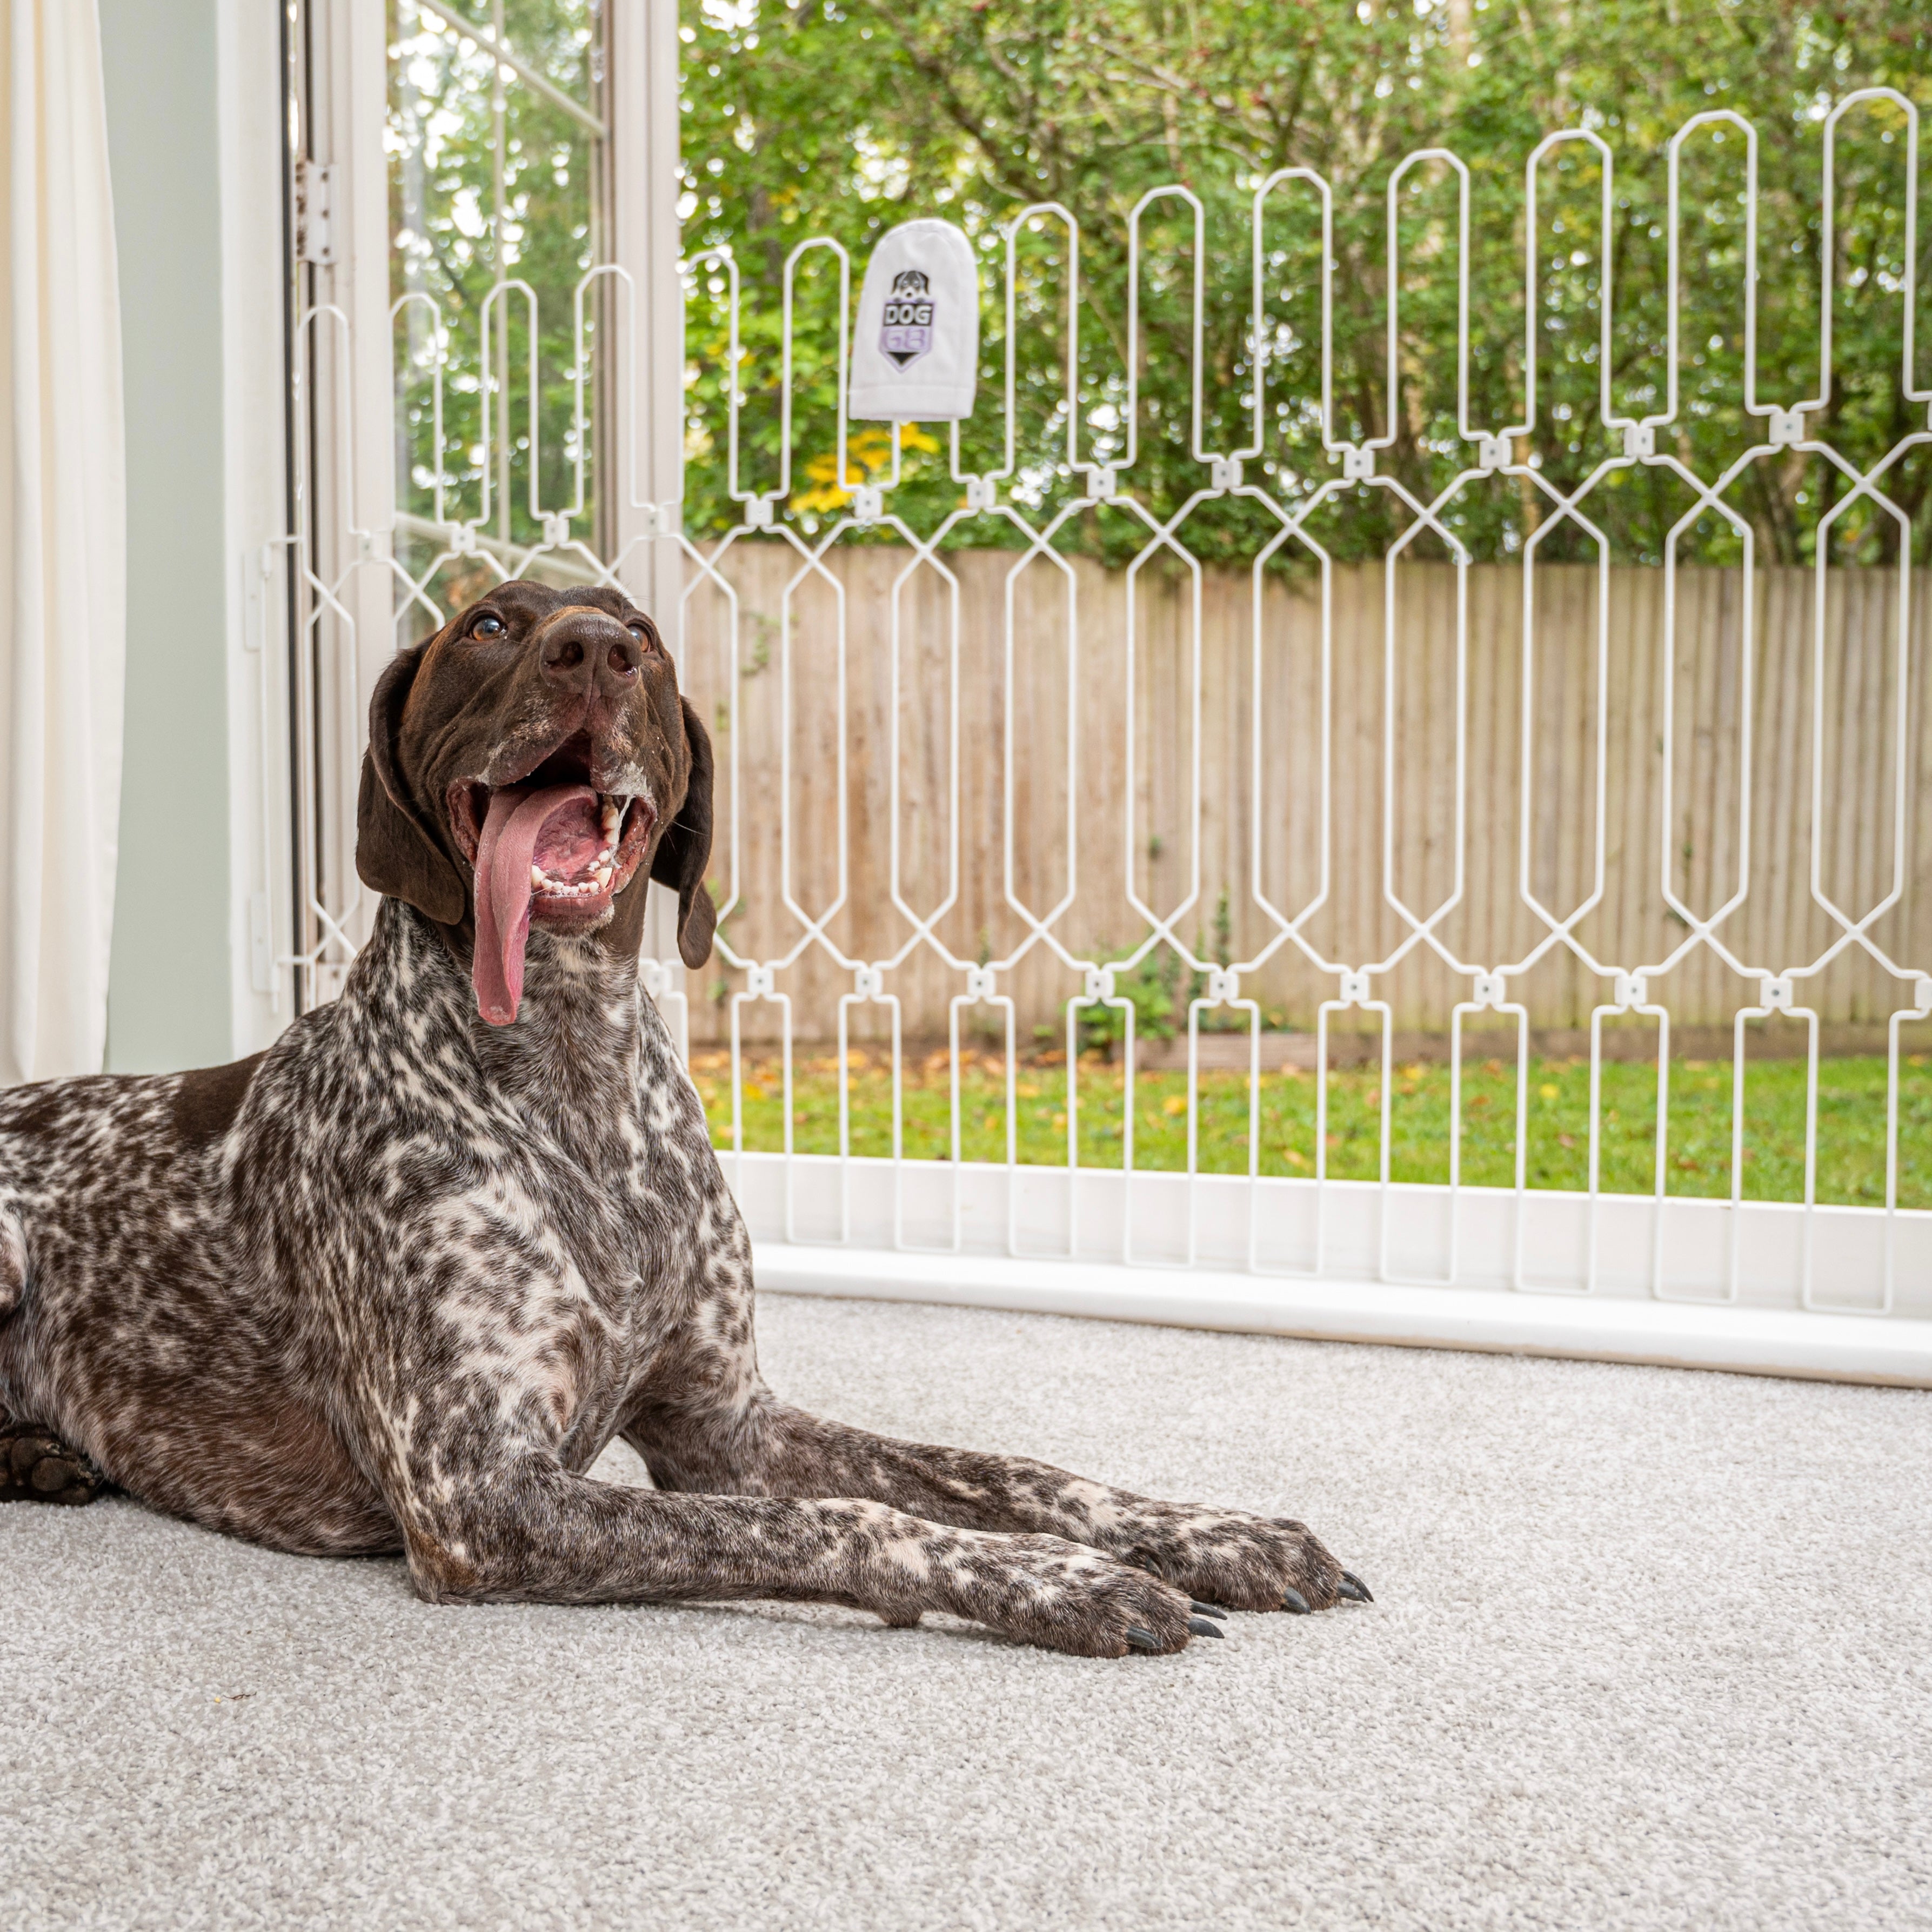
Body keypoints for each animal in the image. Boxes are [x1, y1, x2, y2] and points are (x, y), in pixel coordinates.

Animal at [0, 579, 1368, 1654]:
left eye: (644, 634)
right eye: (489, 624)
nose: (596, 649)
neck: (573, 1076)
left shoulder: (724, 1422)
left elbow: (996, 1467)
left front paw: (1211, 1529)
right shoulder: (478, 1493)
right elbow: (850, 1515)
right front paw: (1063, 1579)